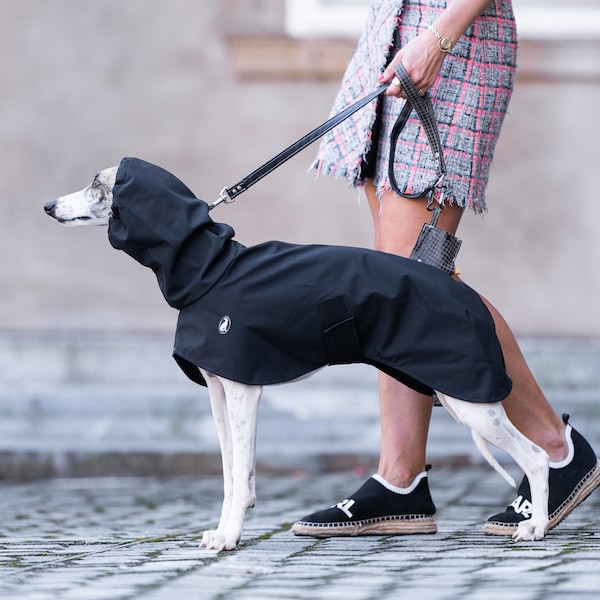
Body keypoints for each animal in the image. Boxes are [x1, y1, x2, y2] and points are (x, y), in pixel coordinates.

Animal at [45, 158, 552, 548]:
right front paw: (224, 531)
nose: (48, 205)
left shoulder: (244, 390)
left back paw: (536, 527)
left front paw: (230, 538)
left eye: (97, 183)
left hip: (470, 401)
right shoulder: (218, 392)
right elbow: (232, 473)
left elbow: (240, 471)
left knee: (536, 457)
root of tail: (468, 297)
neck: (210, 268)